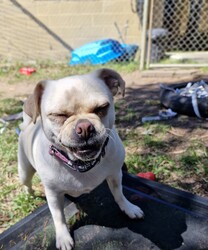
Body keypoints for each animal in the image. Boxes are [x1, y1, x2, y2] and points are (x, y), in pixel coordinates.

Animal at [17, 69, 144, 250]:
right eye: (58, 115)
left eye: (102, 108)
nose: (84, 127)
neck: (81, 164)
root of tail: (27, 125)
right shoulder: (53, 194)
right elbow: (58, 216)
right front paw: (63, 237)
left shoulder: (115, 175)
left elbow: (119, 194)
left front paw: (128, 208)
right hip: (24, 171)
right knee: (27, 183)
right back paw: (30, 194)